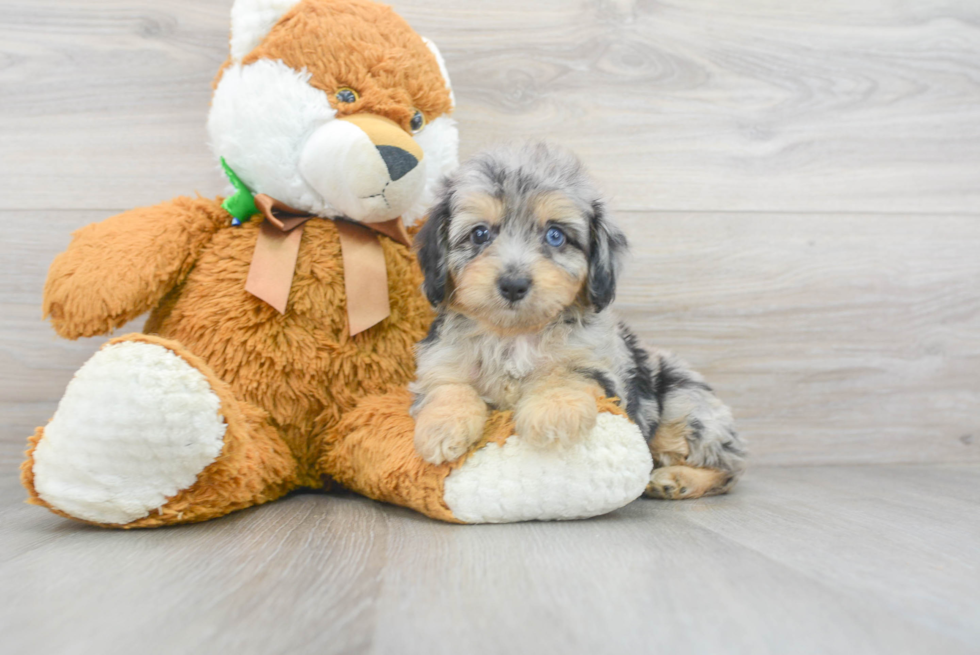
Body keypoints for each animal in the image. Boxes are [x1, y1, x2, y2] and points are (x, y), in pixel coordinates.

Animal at [410, 140, 748, 498]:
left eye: (555, 236)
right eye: (479, 234)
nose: (514, 284)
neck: (514, 335)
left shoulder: (597, 367)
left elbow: (565, 375)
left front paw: (554, 414)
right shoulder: (439, 364)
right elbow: (449, 389)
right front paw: (442, 428)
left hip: (682, 407)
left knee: (728, 468)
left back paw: (676, 481)